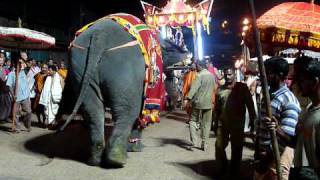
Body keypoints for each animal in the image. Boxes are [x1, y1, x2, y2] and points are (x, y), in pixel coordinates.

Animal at [57, 14, 191, 169]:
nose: (188, 59)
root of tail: (99, 36)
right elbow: (141, 112)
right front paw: (135, 148)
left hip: (80, 66)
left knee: (92, 110)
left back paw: (95, 159)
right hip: (124, 69)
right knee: (128, 111)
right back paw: (117, 160)